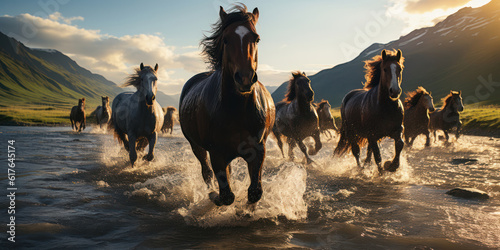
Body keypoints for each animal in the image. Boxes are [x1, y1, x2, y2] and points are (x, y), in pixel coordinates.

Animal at [179, 4, 276, 206]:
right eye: (225, 39)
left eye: (257, 38)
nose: (245, 78)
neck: (237, 111)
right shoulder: (216, 153)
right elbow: (226, 195)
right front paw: (215, 197)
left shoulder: (258, 150)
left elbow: (254, 192)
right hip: (196, 146)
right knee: (206, 173)